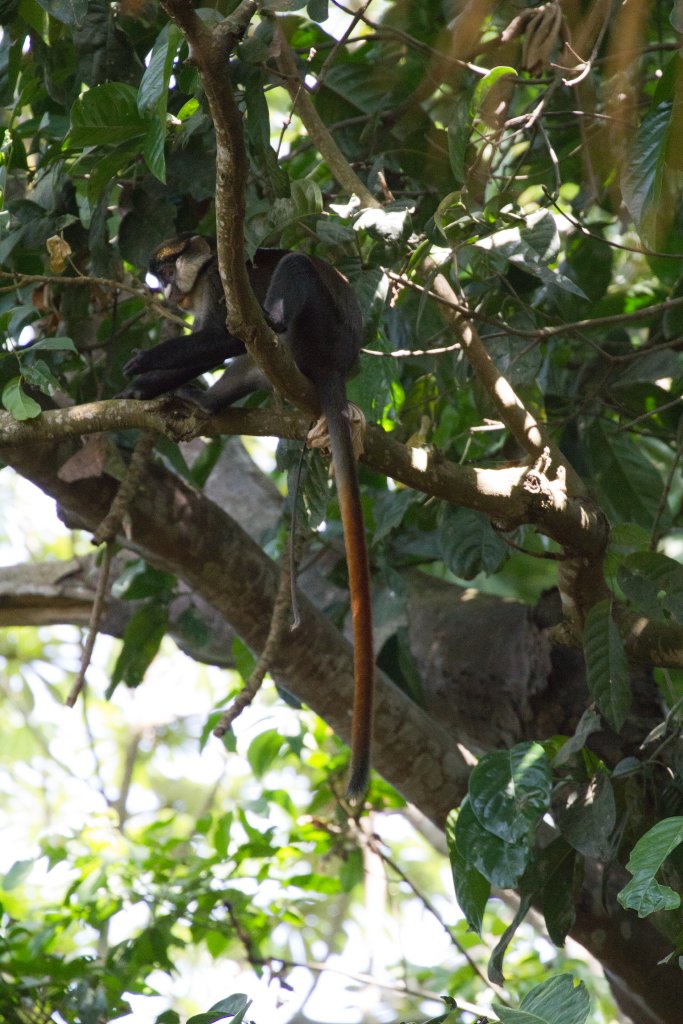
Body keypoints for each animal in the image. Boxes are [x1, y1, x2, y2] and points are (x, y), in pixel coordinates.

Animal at [122, 234, 374, 797]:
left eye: (164, 270)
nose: (164, 292)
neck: (203, 273)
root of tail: (340, 366)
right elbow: (220, 347)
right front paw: (146, 388)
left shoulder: (220, 289)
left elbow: (220, 337)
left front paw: (143, 363)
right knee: (246, 366)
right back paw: (203, 404)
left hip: (317, 333)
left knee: (287, 283)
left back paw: (273, 318)